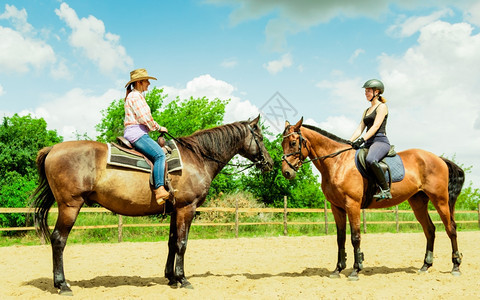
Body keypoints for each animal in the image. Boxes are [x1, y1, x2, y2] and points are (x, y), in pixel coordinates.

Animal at [31, 115, 274, 296]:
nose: (269, 163)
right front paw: (183, 279)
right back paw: (62, 285)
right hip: (70, 206)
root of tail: (53, 149)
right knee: (58, 240)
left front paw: (171, 278)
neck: (197, 158)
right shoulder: (187, 208)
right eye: (260, 137)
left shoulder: (175, 210)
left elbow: (172, 242)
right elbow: (183, 243)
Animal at [282, 118, 464, 282]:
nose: (286, 173)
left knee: (450, 228)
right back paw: (425, 266)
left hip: (440, 200)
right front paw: (337, 270)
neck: (338, 163)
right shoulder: (336, 207)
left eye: (293, 142)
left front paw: (356, 270)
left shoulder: (352, 205)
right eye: (282, 143)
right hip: (418, 202)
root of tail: (438, 158)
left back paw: (455, 266)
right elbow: (340, 238)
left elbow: (355, 237)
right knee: (430, 230)